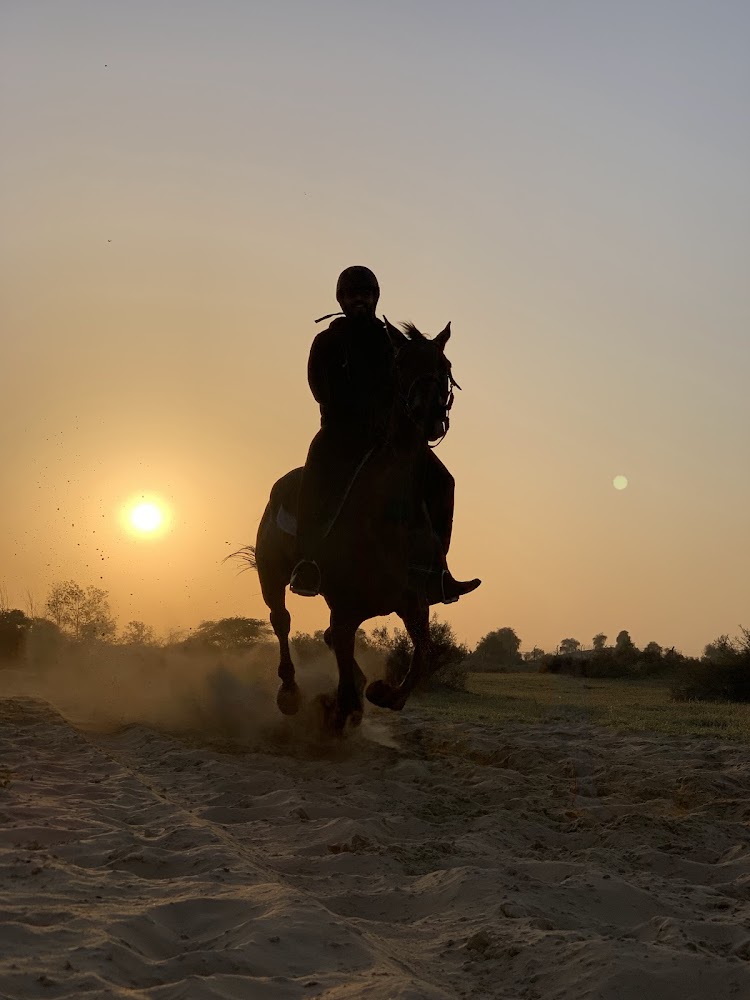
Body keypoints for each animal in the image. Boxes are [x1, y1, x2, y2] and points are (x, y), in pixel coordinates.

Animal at [242, 318, 459, 732]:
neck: (387, 518)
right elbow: (342, 656)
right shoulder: (344, 604)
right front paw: (341, 707)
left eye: (444, 366)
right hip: (270, 575)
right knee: (281, 620)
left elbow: (422, 653)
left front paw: (383, 694)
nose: (427, 415)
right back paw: (290, 694)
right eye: (400, 364)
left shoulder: (411, 602)